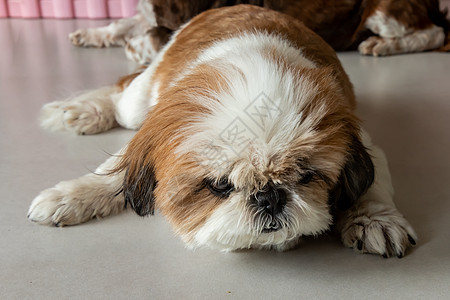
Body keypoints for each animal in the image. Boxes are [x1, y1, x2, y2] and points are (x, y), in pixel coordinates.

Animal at [27, 5, 418, 256]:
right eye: (219, 186)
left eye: (307, 176)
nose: (269, 197)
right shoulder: (158, 124)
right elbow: (114, 172)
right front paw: (74, 196)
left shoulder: (361, 137)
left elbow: (373, 183)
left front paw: (374, 219)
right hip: (140, 100)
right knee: (120, 92)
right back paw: (82, 110)